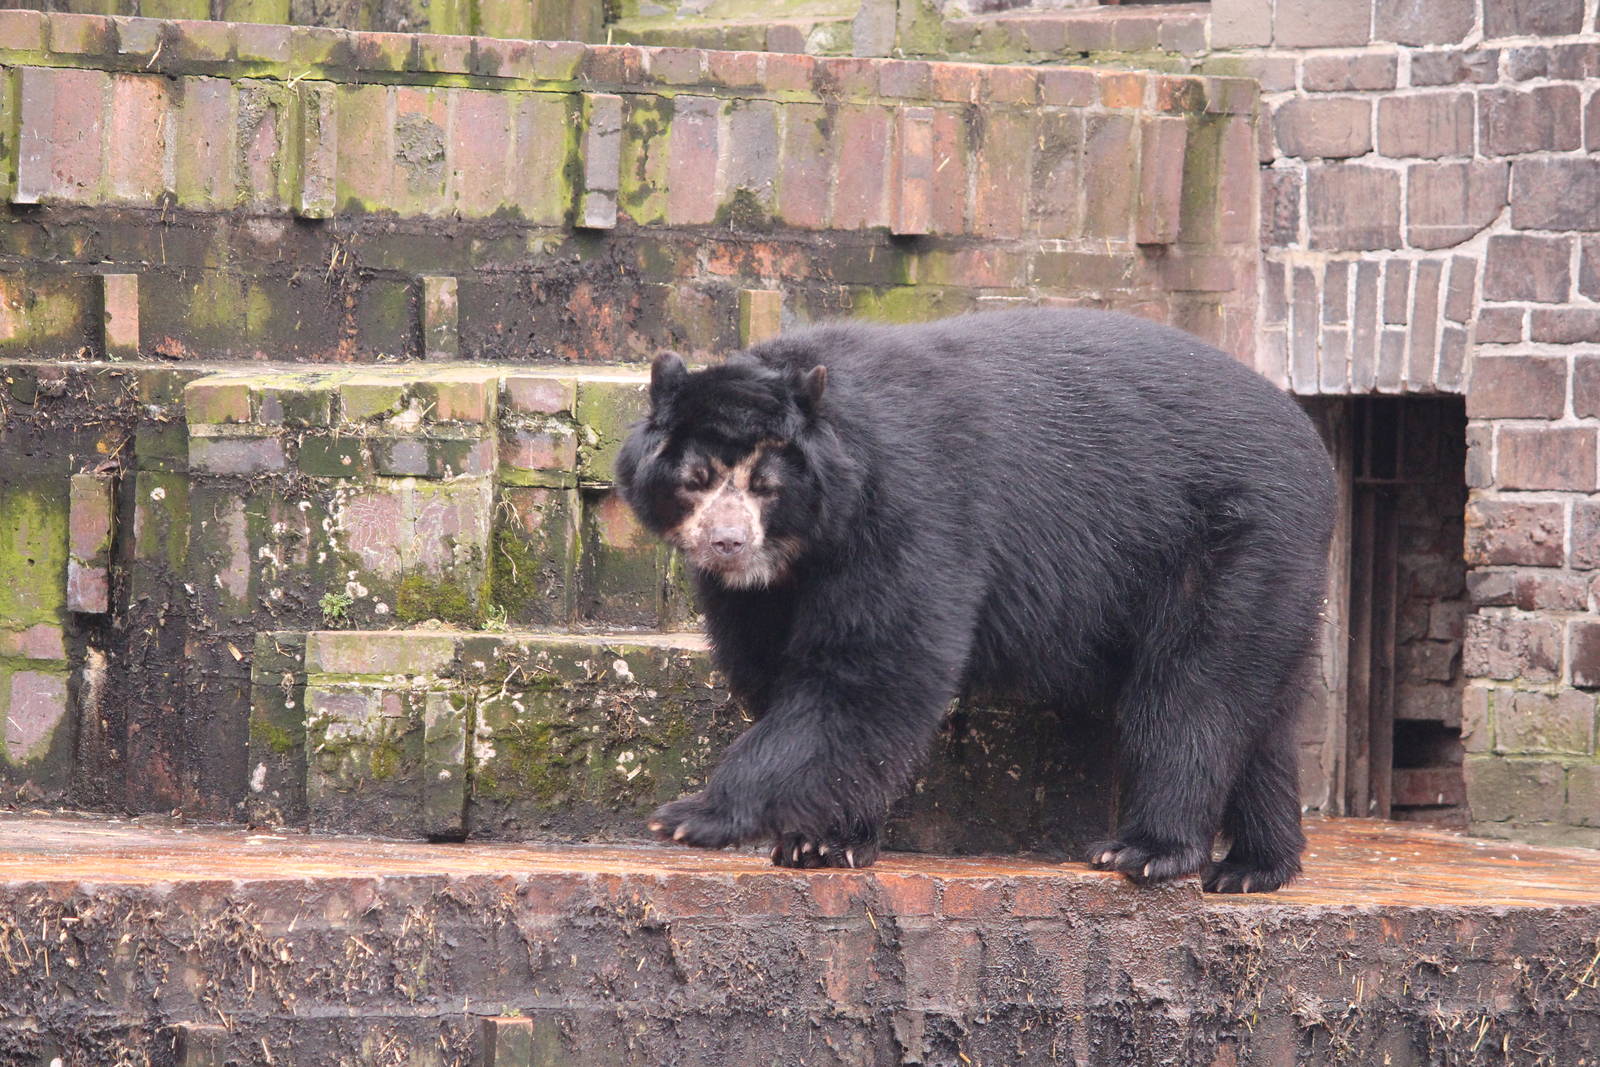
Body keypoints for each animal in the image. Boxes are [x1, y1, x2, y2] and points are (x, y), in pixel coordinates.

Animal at [616, 307, 1335, 892]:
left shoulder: (909, 508)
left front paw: (691, 816)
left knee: (1193, 689)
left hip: (1229, 539)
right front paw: (825, 840)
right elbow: (772, 668)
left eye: (766, 485)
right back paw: (1255, 865)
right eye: (695, 479)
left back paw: (1148, 849)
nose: (727, 543)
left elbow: (873, 671)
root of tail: (1312, 445)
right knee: (1260, 709)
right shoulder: (766, 590)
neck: (810, 538)